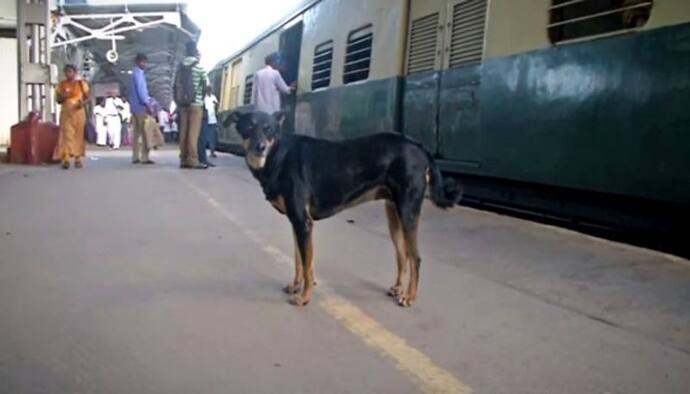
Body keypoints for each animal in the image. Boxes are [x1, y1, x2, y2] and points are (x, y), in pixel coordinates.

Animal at [223, 111, 460, 308]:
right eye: (249, 127)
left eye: (269, 128)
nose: (260, 146)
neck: (278, 155)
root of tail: (418, 145)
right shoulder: (297, 222)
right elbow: (300, 261)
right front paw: (296, 286)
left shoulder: (303, 222)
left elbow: (306, 264)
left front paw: (304, 296)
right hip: (394, 213)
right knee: (403, 255)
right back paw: (398, 289)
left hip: (408, 210)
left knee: (415, 258)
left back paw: (409, 297)